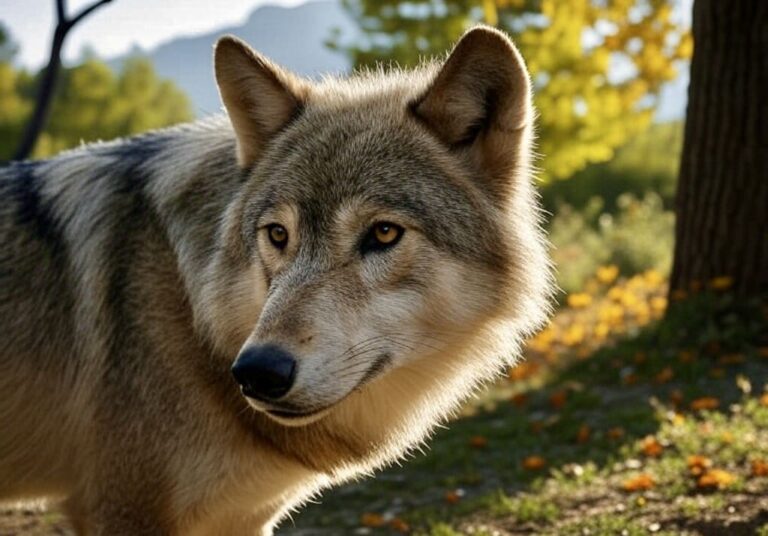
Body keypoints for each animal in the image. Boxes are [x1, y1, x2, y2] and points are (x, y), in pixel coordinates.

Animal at [0, 26, 552, 534]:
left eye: (384, 232)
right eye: (278, 234)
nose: (258, 371)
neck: (191, 309)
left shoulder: (240, 519)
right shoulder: (121, 510)